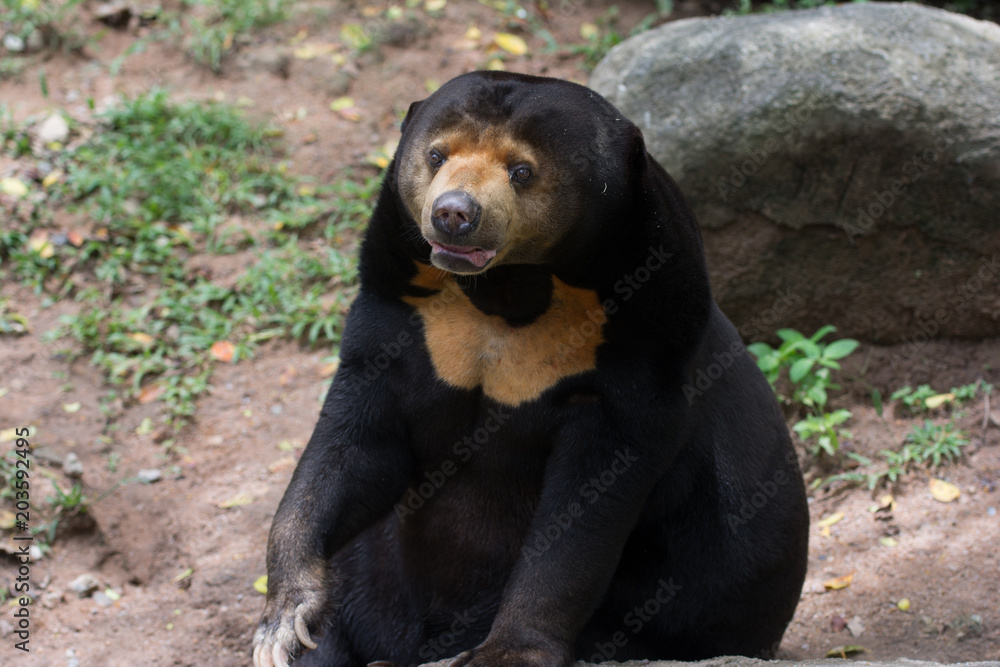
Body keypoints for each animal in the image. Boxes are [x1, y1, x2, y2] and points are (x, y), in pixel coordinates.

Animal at [252, 71, 808, 667]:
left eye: (522, 170)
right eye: (436, 154)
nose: (454, 213)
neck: (508, 292)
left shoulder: (646, 351)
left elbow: (583, 512)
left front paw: (501, 652)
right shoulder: (399, 316)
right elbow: (354, 451)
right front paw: (284, 621)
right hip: (375, 580)